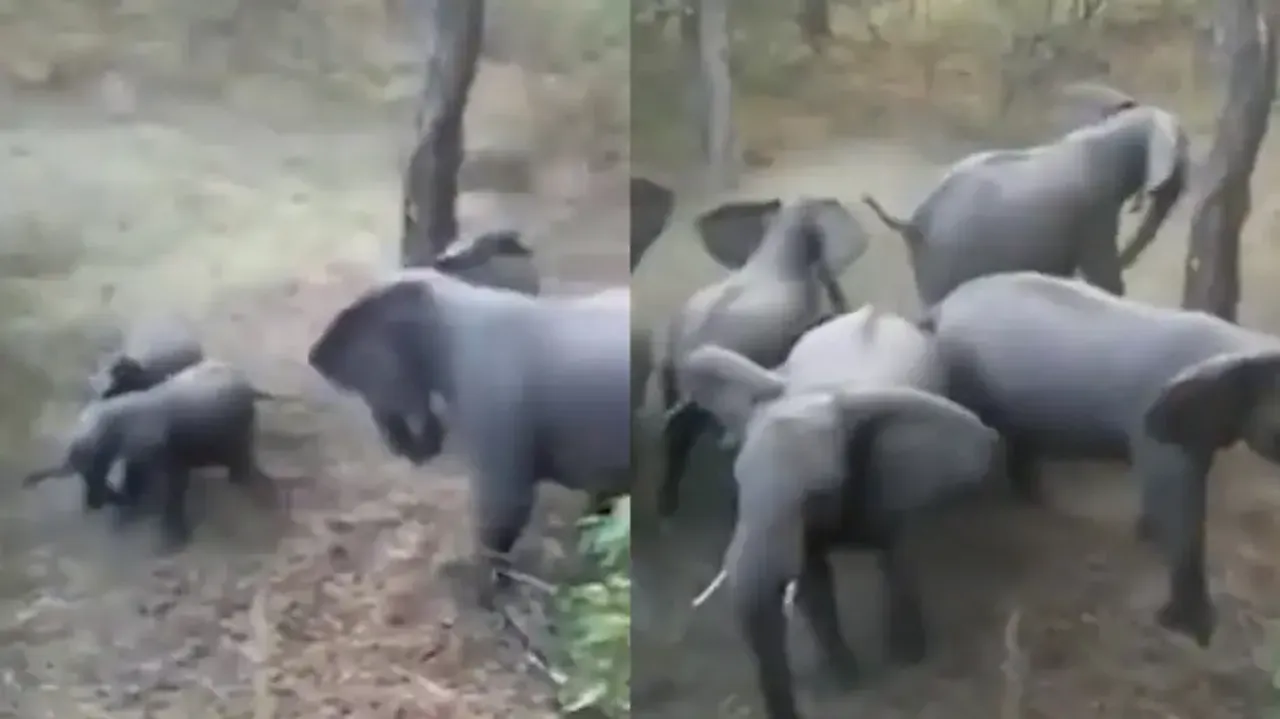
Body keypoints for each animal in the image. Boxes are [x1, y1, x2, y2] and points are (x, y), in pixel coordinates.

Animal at [23, 359, 274, 550]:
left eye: (95, 450)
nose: (26, 482)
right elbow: (140, 473)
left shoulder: (164, 443)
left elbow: (174, 482)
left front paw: (171, 544)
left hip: (239, 423)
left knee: (238, 453)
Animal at [677, 319, 999, 719]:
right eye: (739, 482)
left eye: (818, 494)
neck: (824, 391)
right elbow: (814, 581)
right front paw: (844, 681)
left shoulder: (886, 477)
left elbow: (898, 560)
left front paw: (909, 661)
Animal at [919, 271, 1280, 647]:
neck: (1241, 345)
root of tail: (939, 308)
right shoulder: (1154, 430)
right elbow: (1180, 509)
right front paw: (1194, 631)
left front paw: (1148, 538)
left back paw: (1037, 502)